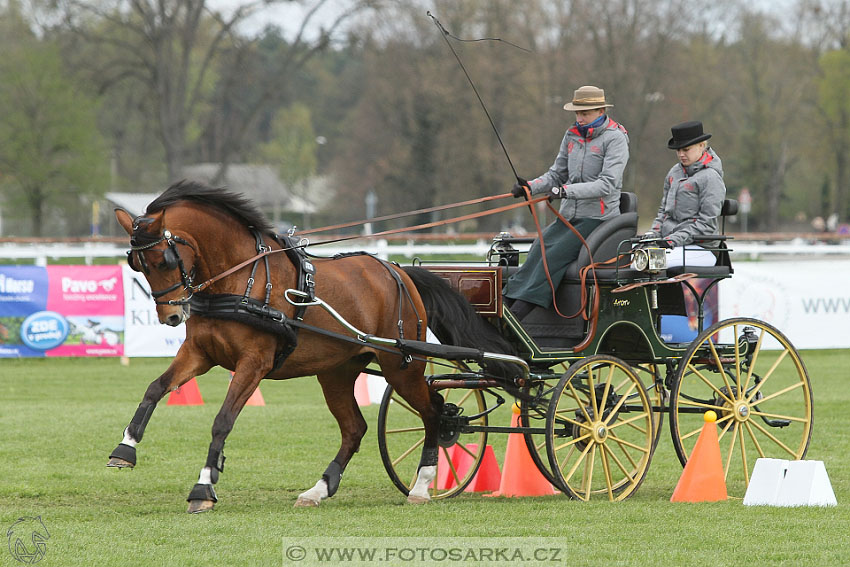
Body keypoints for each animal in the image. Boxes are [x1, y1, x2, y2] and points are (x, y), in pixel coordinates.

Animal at [108, 180, 512, 512]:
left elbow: (222, 421)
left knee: (434, 412)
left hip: (401, 366)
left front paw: (204, 487)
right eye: (137, 264)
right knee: (355, 429)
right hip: (337, 372)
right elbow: (156, 388)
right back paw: (320, 488)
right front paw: (125, 448)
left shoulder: (254, 363)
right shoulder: (200, 353)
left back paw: (422, 485)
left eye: (164, 259)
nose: (171, 316)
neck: (241, 278)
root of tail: (397, 271)